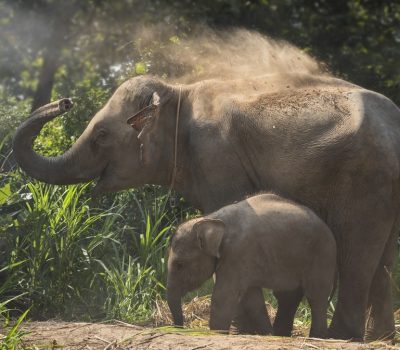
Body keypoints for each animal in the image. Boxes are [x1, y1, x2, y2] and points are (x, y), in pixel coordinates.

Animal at [167, 193, 336, 338]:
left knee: (316, 296)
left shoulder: (238, 251)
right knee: (288, 296)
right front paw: (267, 334)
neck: (211, 219)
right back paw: (280, 334)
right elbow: (252, 298)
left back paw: (316, 337)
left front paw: (216, 333)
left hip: (322, 254)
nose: (179, 328)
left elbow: (224, 295)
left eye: (180, 264)